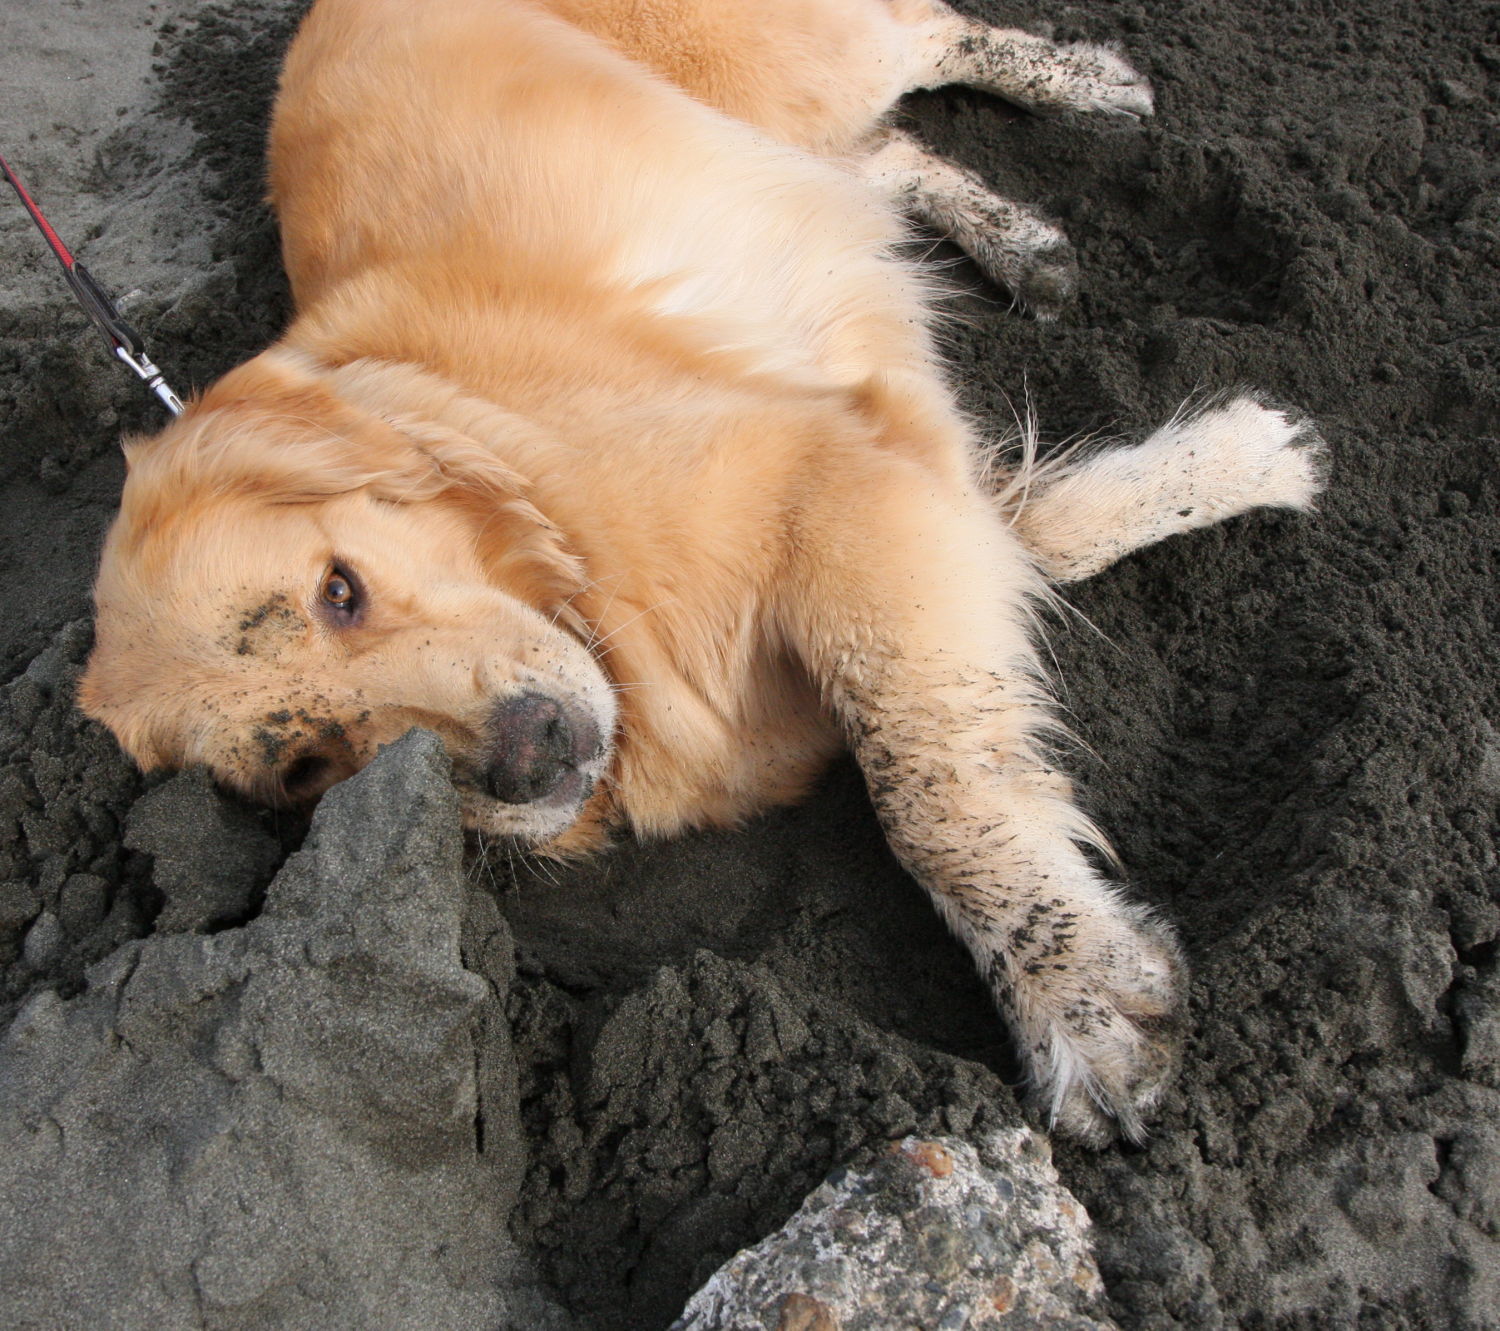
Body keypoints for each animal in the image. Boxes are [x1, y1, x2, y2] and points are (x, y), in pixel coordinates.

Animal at [79, 0, 1326, 1146]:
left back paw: (1091, 85)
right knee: (879, 155)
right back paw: (1022, 236)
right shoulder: (884, 456)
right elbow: (1022, 537)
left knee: (924, 37)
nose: (527, 756)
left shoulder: (826, 479)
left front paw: (1077, 998)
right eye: (305, 767)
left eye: (339, 590)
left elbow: (927, 782)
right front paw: (1239, 458)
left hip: (795, 60)